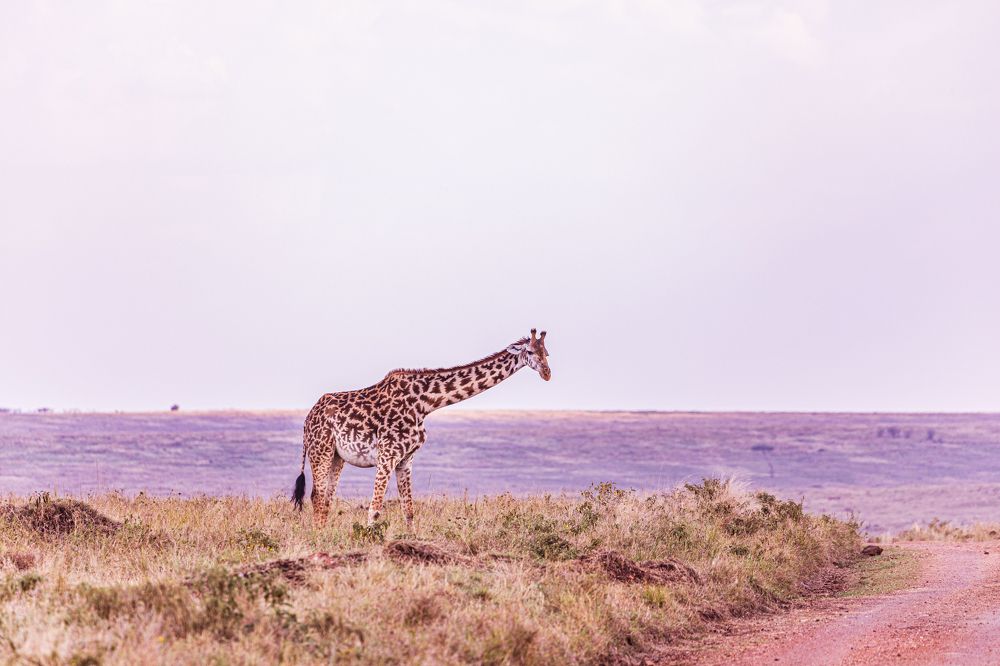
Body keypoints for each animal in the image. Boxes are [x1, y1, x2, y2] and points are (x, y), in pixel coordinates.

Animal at [292, 329, 551, 527]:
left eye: (546, 353)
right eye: (530, 352)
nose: (547, 373)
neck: (425, 403)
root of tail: (307, 419)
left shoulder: (406, 459)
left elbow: (409, 511)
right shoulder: (387, 455)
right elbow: (375, 508)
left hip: (337, 457)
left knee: (326, 498)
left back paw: (324, 534)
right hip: (321, 451)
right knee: (317, 496)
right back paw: (318, 537)